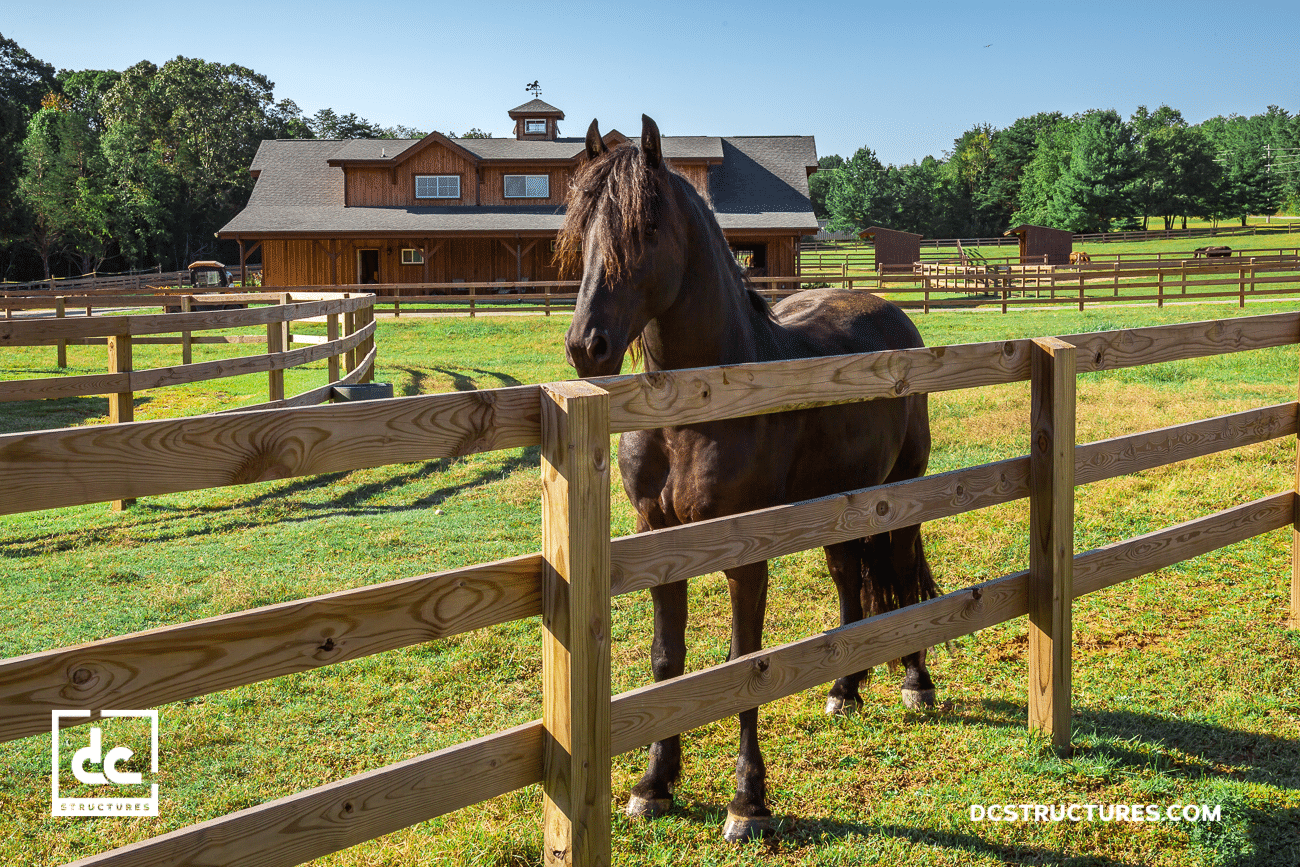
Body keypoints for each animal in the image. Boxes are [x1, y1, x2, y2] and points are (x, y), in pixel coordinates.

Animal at [557, 115, 940, 842]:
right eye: (581, 221)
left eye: (649, 223)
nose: (587, 345)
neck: (699, 408)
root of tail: (890, 313)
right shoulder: (658, 541)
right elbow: (667, 660)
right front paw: (653, 784)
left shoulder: (745, 552)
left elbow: (744, 665)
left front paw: (747, 800)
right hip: (837, 503)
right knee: (850, 576)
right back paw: (844, 688)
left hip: (901, 490)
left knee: (903, 572)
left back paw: (916, 681)